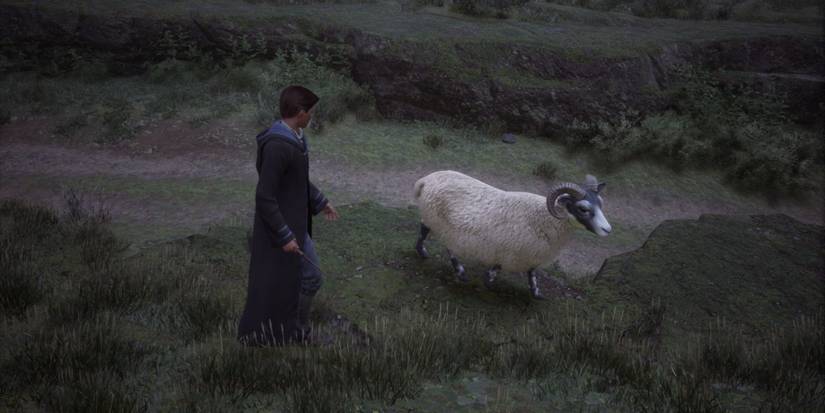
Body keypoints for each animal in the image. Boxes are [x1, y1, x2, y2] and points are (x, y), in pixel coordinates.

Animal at [413, 170, 611, 299]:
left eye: (601, 203)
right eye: (583, 208)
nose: (608, 230)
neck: (546, 218)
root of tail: (427, 179)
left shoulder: (532, 252)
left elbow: (532, 273)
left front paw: (536, 293)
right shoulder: (510, 250)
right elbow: (496, 269)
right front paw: (489, 282)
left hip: (443, 224)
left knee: (429, 231)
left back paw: (426, 254)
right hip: (441, 223)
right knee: (442, 243)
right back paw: (456, 270)